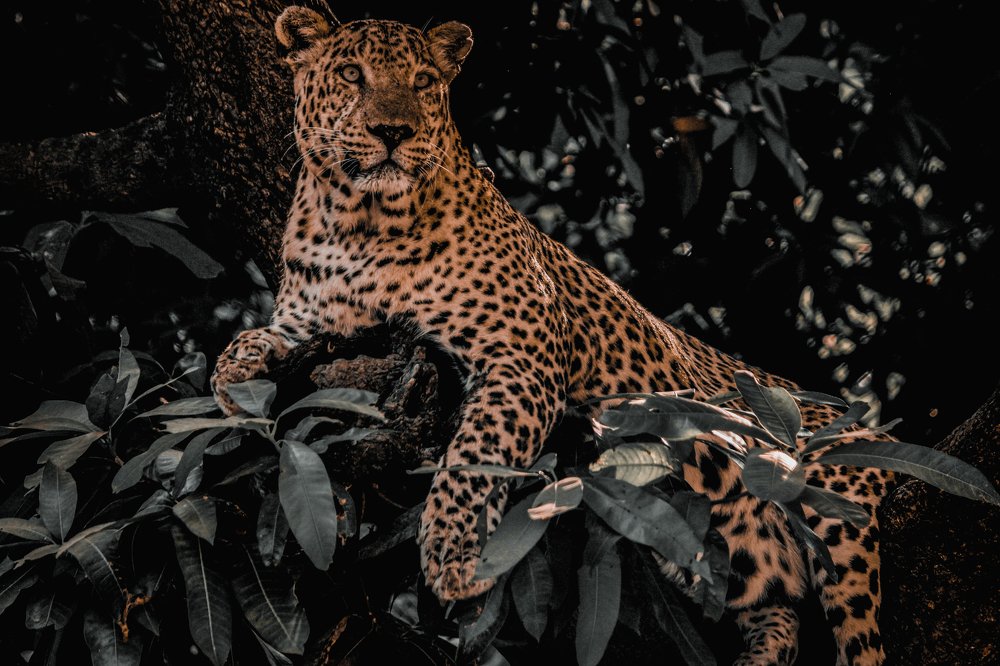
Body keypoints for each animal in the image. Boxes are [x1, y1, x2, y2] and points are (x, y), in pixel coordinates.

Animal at [211, 6, 893, 665]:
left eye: (423, 83)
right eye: (352, 75)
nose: (393, 132)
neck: (357, 221)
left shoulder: (521, 355)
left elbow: (475, 454)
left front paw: (455, 556)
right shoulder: (311, 323)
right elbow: (250, 340)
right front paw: (233, 387)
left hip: (836, 505)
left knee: (860, 636)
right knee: (778, 618)